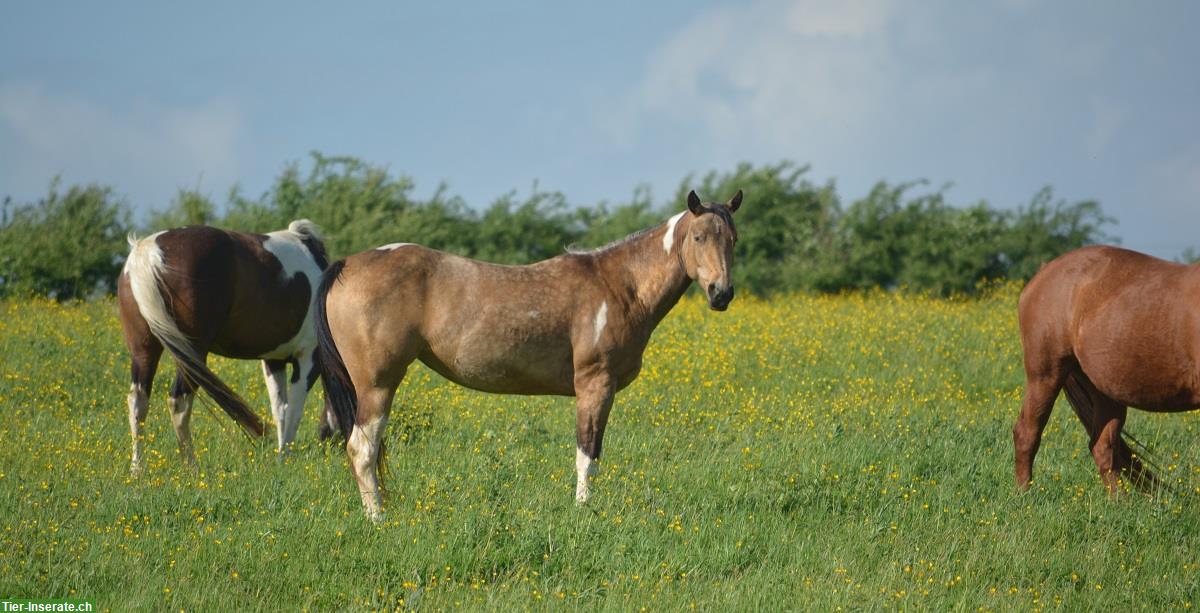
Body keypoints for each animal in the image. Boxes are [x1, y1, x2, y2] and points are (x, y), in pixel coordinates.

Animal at [117, 220, 328, 475]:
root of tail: (148, 253)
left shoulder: (273, 360)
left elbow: (281, 409)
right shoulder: (307, 358)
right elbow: (295, 409)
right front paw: (284, 457)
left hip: (144, 352)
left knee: (138, 402)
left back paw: (137, 469)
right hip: (193, 354)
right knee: (179, 402)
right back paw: (191, 466)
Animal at [314, 190, 734, 518]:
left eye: (732, 239)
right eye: (698, 237)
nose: (721, 293)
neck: (619, 285)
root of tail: (345, 264)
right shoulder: (595, 384)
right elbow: (587, 454)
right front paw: (583, 512)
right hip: (377, 385)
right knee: (362, 449)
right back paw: (378, 519)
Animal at [1012, 247, 1200, 491]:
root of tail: (1043, 273)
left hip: (1105, 391)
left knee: (1102, 448)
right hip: (1045, 375)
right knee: (1026, 434)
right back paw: (1023, 494)